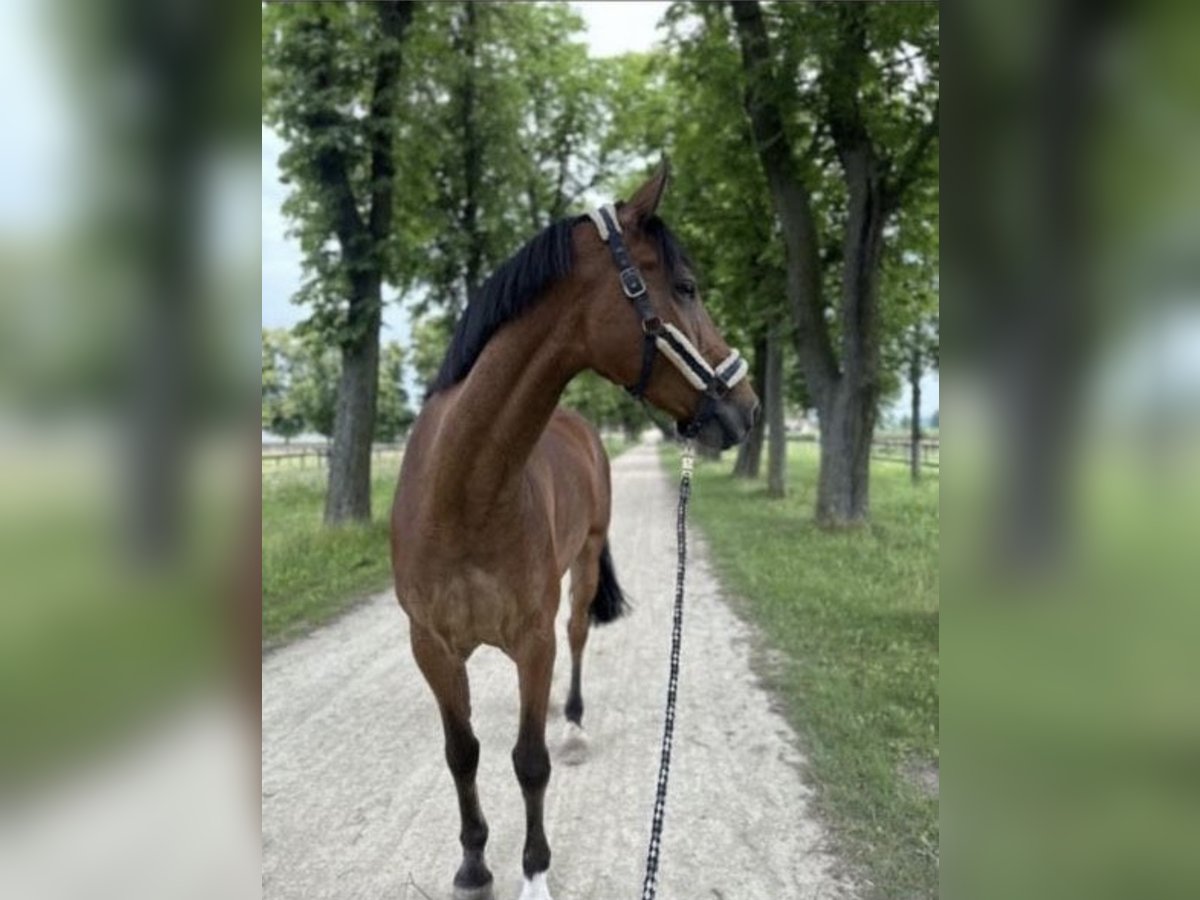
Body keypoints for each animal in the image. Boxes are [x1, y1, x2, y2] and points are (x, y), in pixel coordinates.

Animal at [388, 164, 753, 900]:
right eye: (687, 287)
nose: (748, 408)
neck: (462, 495)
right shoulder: (431, 648)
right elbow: (462, 752)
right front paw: (474, 864)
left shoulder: (533, 642)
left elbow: (530, 760)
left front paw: (534, 872)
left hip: (582, 564)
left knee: (579, 634)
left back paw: (576, 723)